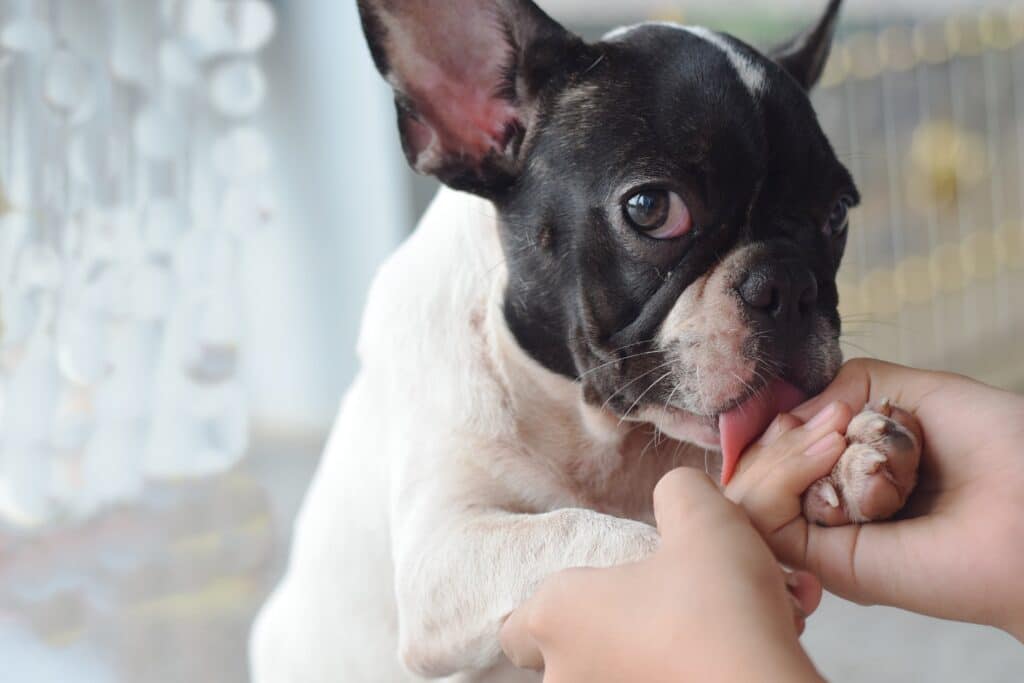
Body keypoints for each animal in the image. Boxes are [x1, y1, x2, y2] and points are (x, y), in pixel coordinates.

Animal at [253, 2, 921, 679]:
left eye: (837, 213)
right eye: (651, 209)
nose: (788, 284)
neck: (599, 435)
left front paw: (844, 461)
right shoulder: (440, 559)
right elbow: (573, 530)